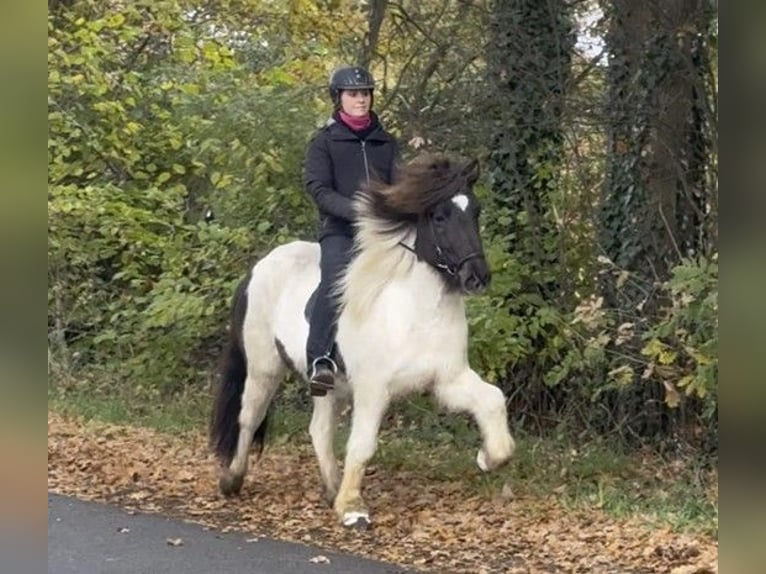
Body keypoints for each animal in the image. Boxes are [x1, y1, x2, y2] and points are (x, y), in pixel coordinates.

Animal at [210, 154, 516, 532]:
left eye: (475, 211)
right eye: (439, 216)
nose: (477, 277)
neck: (414, 311)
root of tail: (260, 266)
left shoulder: (448, 380)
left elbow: (493, 399)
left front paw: (488, 457)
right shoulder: (374, 389)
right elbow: (362, 444)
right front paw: (353, 508)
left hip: (328, 385)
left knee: (318, 430)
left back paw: (331, 488)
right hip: (264, 368)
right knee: (249, 418)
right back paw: (233, 479)